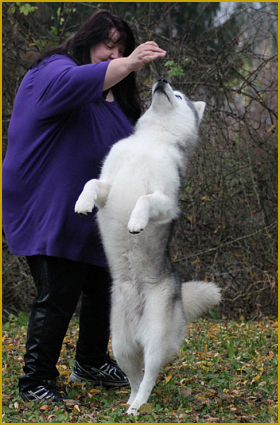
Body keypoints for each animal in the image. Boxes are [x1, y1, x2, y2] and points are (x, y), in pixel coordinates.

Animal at [75, 80, 221, 414]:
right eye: (172, 88)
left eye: (178, 95)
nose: (161, 80)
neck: (151, 141)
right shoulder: (107, 186)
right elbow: (91, 183)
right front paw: (82, 203)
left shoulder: (165, 201)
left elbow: (144, 199)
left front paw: (136, 222)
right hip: (120, 345)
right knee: (134, 377)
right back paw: (129, 405)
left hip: (154, 341)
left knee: (149, 376)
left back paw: (138, 406)